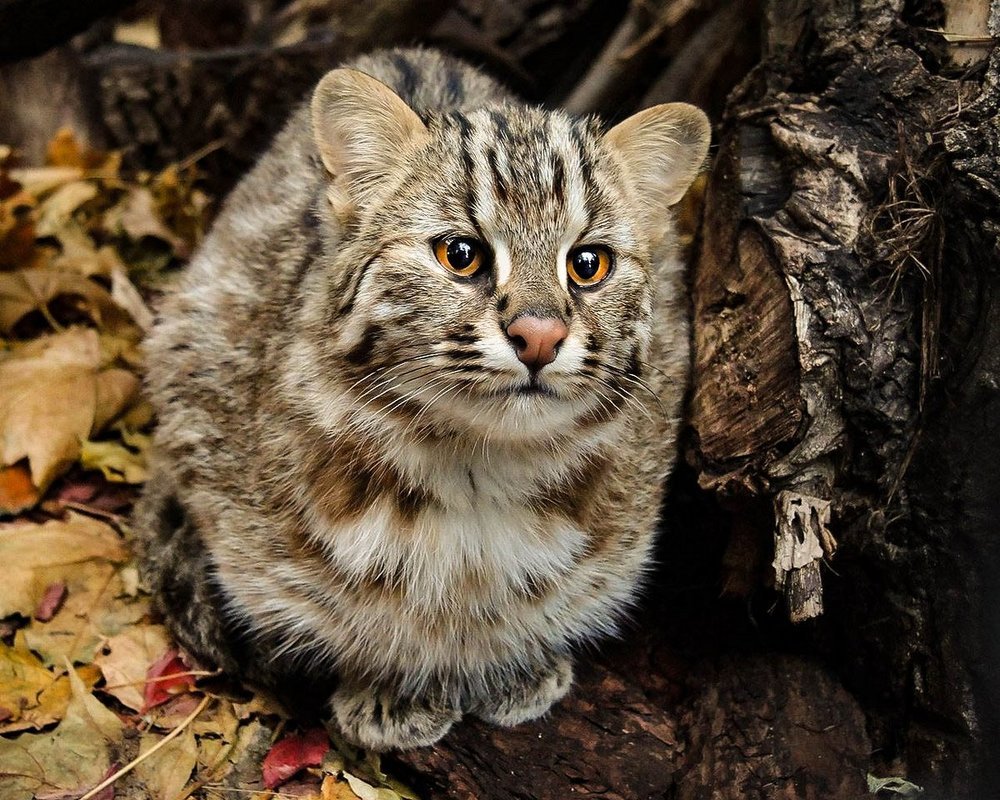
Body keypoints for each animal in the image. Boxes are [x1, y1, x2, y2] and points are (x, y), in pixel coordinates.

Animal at [135, 48, 712, 752]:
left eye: (588, 263)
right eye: (459, 254)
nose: (540, 336)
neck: (477, 469)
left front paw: (516, 664)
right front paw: (393, 683)